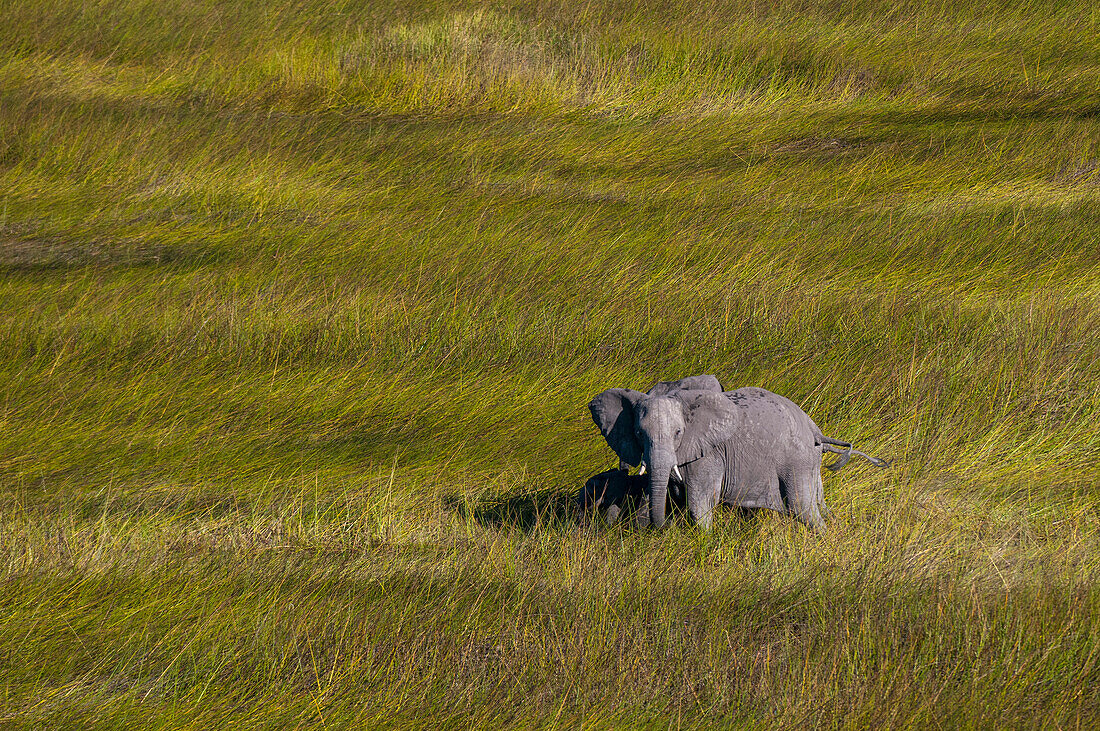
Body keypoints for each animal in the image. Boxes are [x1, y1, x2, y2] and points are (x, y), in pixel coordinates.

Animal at [589, 382, 880, 529]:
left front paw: (702, 540)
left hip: (797, 459)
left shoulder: (708, 454)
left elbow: (699, 505)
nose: (665, 527)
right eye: (638, 433)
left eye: (678, 432)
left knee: (803, 510)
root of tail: (814, 428)